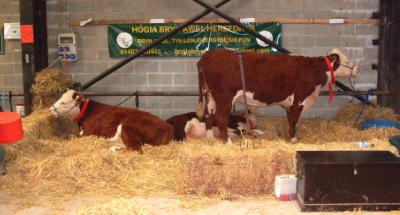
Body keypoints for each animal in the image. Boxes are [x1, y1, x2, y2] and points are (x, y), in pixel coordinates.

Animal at [197, 48, 360, 143]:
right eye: (346, 60)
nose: (356, 68)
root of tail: (207, 55)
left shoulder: (289, 103)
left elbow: (290, 120)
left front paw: (291, 136)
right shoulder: (299, 99)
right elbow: (294, 120)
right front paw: (293, 139)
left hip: (209, 96)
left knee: (208, 116)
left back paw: (210, 139)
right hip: (224, 97)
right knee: (220, 118)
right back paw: (227, 142)